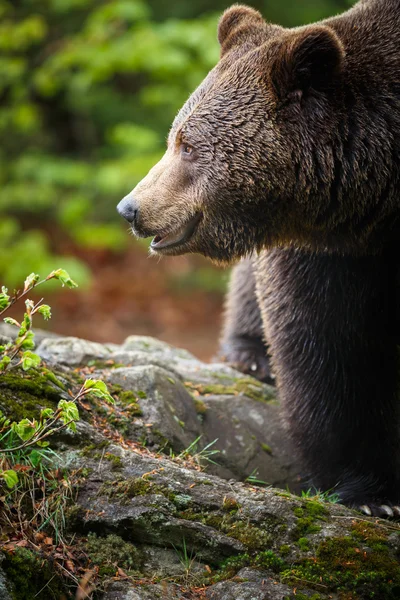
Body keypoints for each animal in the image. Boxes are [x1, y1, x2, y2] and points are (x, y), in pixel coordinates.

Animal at [117, 0, 400, 516]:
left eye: (189, 145)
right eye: (174, 135)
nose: (131, 208)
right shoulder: (334, 247)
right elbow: (330, 342)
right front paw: (373, 492)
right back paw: (251, 356)